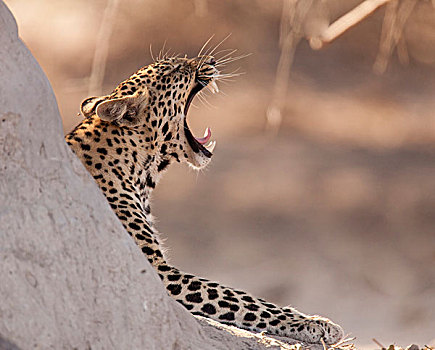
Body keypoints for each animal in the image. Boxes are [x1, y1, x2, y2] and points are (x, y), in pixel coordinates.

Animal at [65, 52, 344, 344]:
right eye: (176, 69)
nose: (210, 60)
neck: (139, 170)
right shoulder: (157, 272)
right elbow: (237, 296)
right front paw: (313, 323)